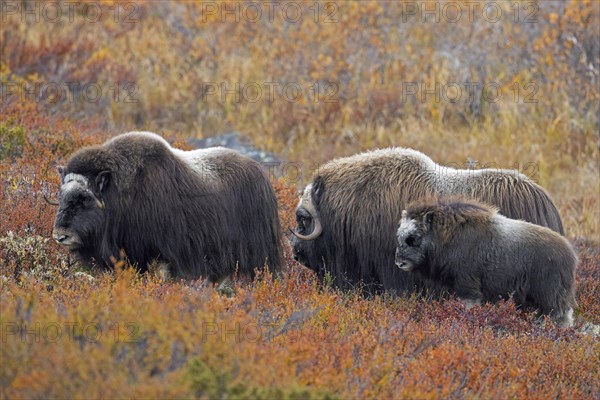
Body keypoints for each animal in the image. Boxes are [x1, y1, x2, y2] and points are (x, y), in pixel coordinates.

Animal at [394, 198, 576, 326]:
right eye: (400, 236)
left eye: (413, 238)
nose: (399, 263)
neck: (446, 238)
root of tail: (571, 254)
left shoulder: (467, 286)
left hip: (550, 297)